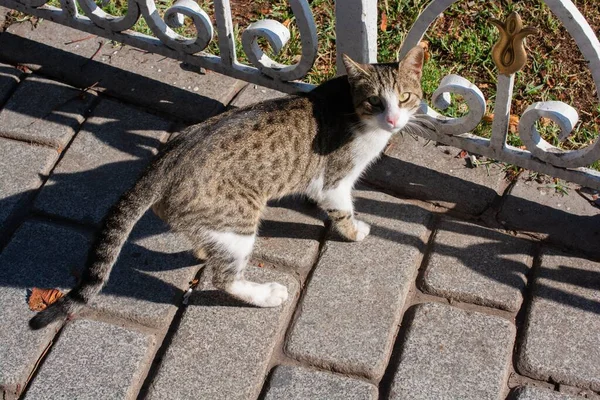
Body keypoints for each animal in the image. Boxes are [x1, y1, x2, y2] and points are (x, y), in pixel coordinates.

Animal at [29, 45, 426, 330]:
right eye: (375, 101)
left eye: (404, 98)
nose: (393, 120)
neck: (350, 106)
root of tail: (167, 161)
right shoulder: (335, 180)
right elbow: (342, 209)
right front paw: (354, 230)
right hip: (238, 221)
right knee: (225, 279)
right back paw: (265, 293)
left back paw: (202, 248)